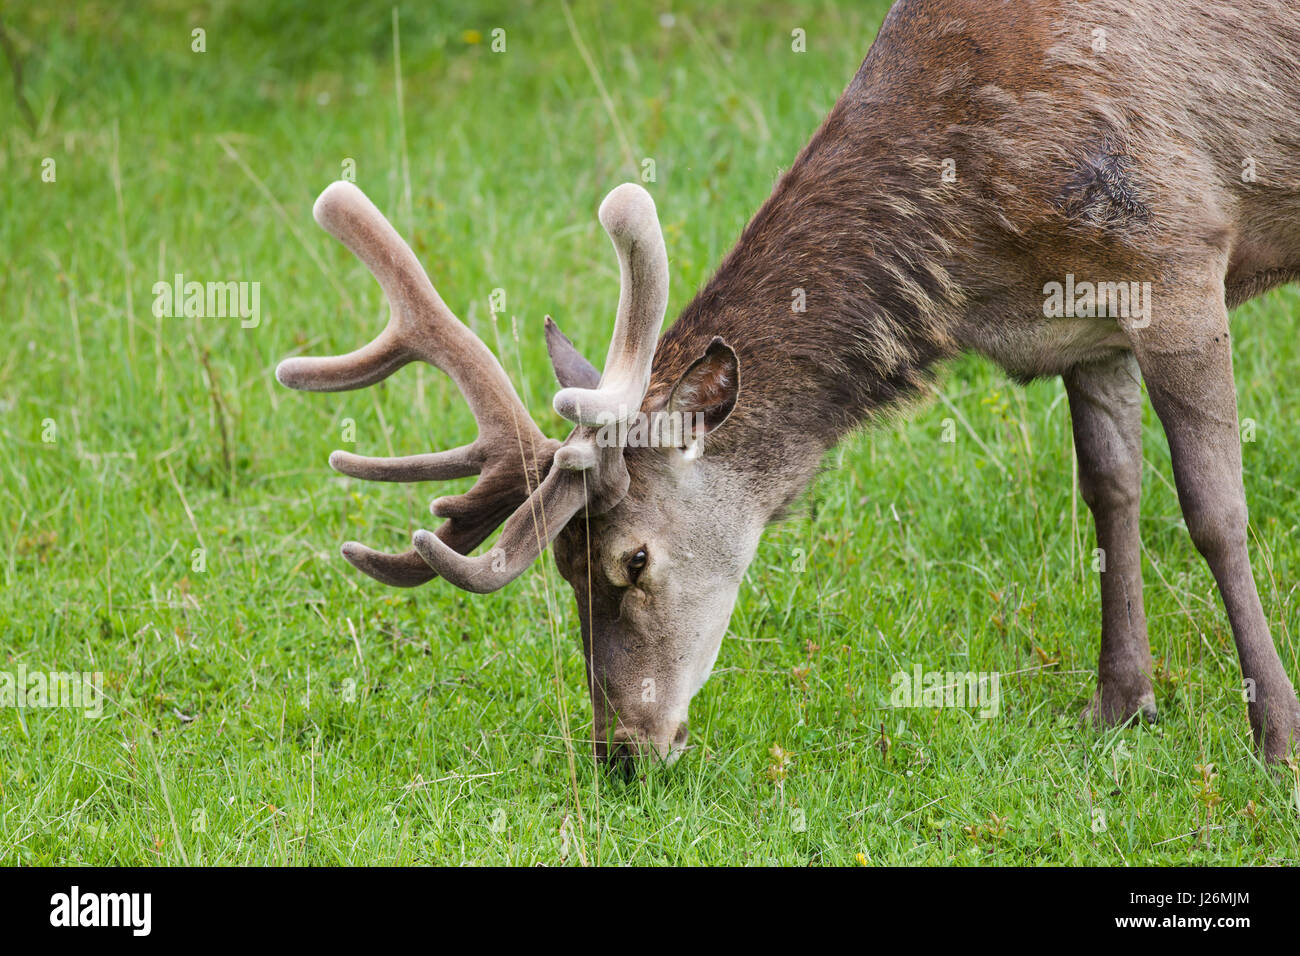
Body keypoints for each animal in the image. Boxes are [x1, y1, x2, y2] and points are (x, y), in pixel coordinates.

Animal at [279, 0, 1300, 764]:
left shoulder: (1176, 254)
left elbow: (1214, 512)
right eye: (564, 570)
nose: (620, 750)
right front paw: (1120, 704)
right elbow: (1110, 494)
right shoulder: (1081, 328)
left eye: (633, 560)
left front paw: (1276, 732)